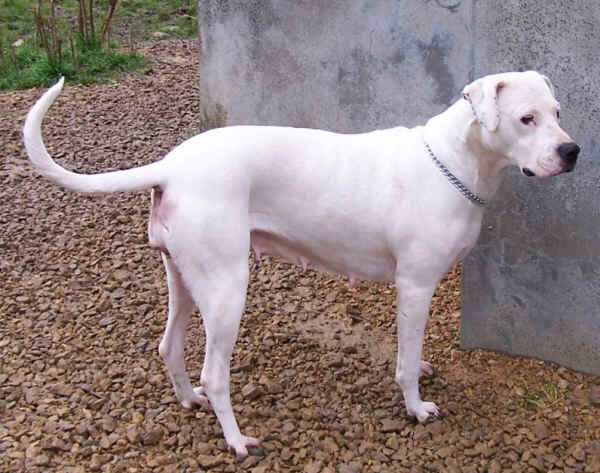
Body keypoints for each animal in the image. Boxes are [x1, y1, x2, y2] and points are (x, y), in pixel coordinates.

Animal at [23, 71, 579, 457]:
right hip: (226, 292)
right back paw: (236, 440)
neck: (456, 161)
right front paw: (416, 406)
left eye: (556, 111)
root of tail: (171, 166)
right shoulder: (416, 286)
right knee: (215, 374)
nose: (571, 150)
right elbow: (403, 364)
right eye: (526, 119)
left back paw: (187, 401)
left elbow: (411, 346)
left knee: (169, 346)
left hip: (183, 279)